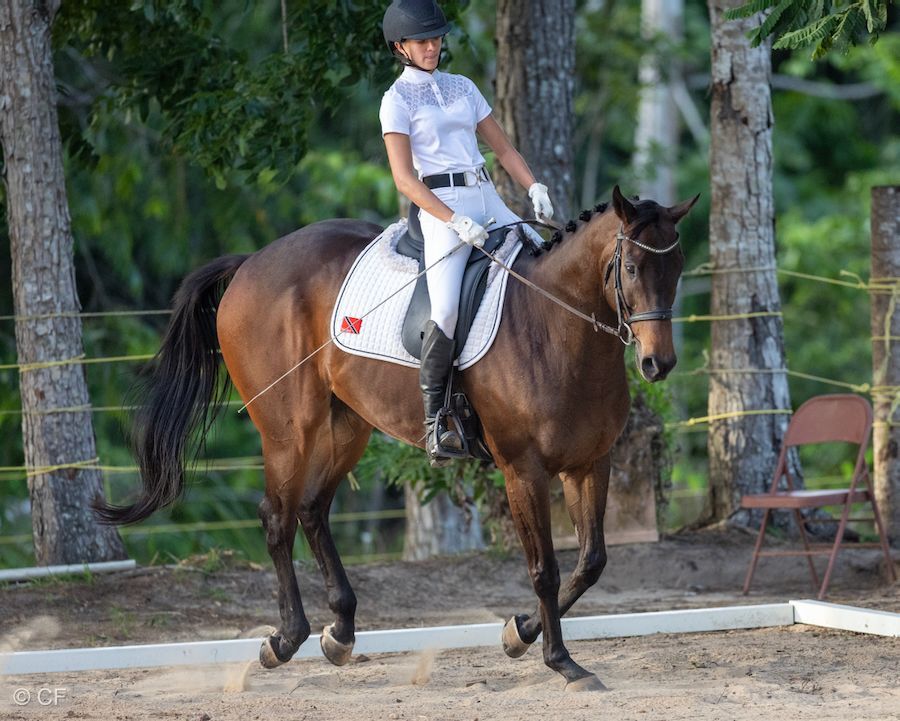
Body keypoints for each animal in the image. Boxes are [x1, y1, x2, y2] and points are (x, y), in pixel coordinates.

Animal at [96, 185, 698, 691]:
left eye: (678, 267)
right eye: (632, 266)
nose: (658, 363)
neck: (556, 326)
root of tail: (251, 262)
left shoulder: (590, 463)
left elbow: (590, 562)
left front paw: (520, 632)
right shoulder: (522, 470)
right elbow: (546, 569)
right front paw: (560, 661)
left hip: (347, 426)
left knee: (311, 509)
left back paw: (340, 633)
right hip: (289, 429)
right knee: (277, 517)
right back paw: (283, 641)